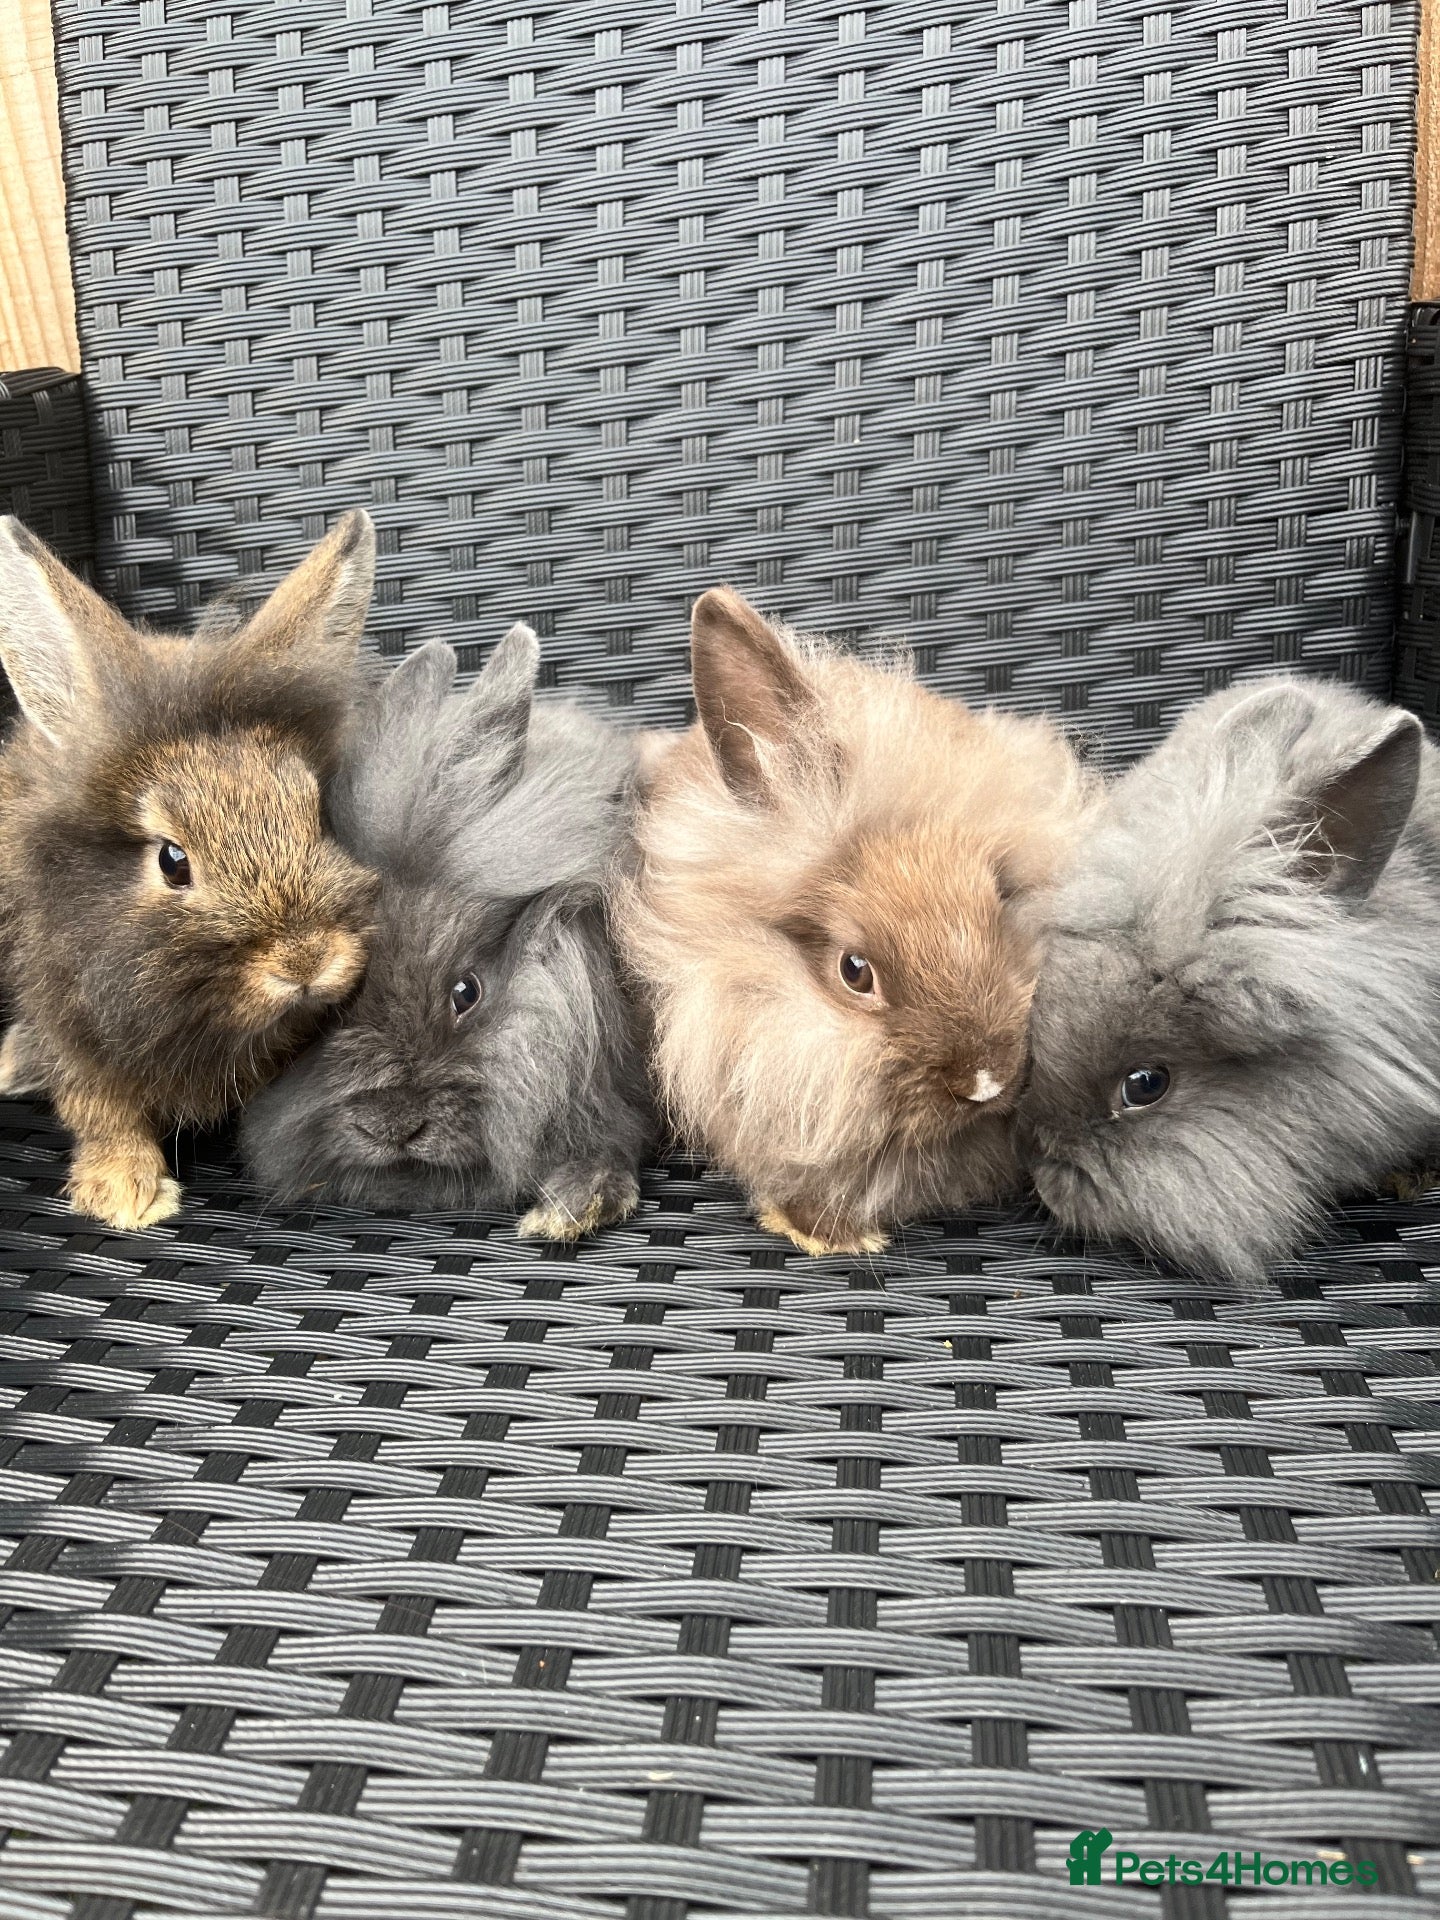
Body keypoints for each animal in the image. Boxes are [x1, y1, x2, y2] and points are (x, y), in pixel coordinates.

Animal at [0, 513, 380, 1231]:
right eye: (172, 861)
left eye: (322, 816)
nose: (306, 960)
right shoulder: (73, 1021)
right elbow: (102, 1109)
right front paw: (125, 1193)